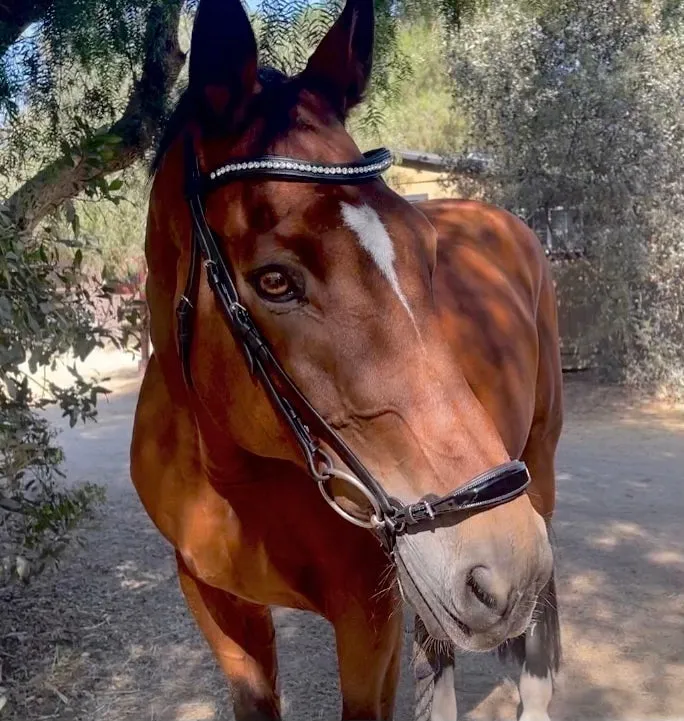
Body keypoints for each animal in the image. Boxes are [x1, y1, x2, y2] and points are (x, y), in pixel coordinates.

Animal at [131, 1, 564, 720]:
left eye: (425, 250)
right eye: (275, 280)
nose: (506, 561)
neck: (232, 478)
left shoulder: (368, 617)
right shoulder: (219, 607)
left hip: (539, 467)